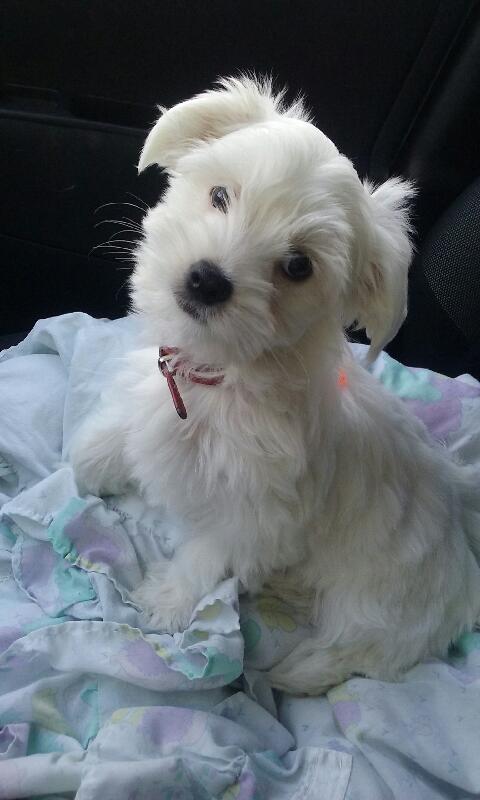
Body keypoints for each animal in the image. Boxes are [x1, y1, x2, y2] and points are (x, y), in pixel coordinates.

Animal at [70, 76, 480, 695]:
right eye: (220, 195)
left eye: (298, 266)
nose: (207, 279)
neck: (224, 374)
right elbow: (126, 430)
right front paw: (91, 460)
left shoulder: (257, 510)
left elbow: (208, 553)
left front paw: (167, 601)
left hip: (383, 609)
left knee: (358, 649)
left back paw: (292, 670)